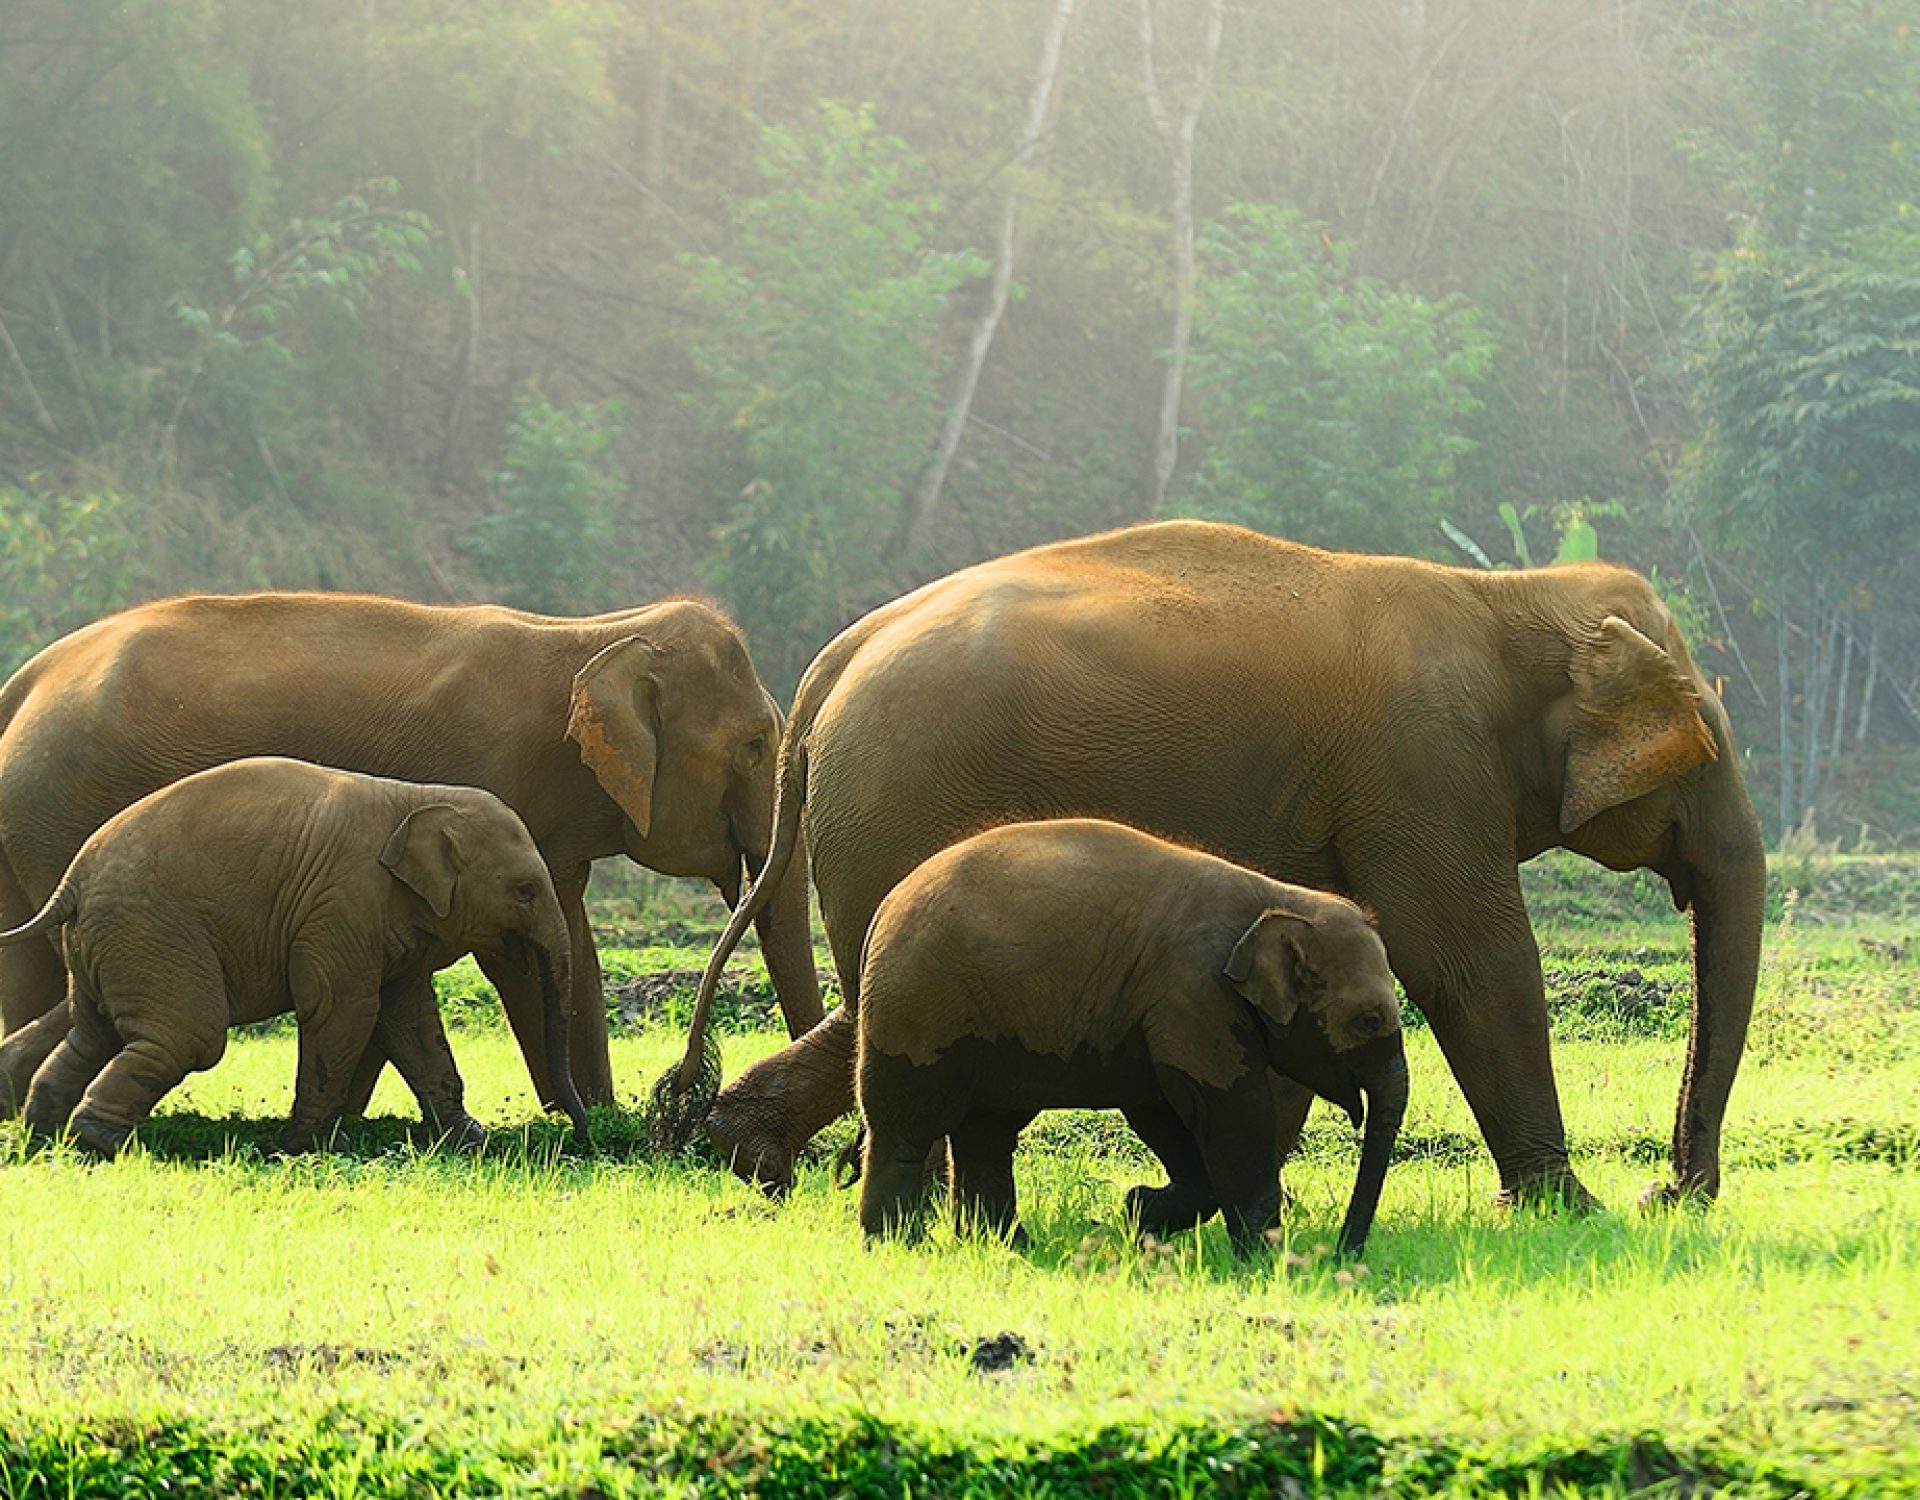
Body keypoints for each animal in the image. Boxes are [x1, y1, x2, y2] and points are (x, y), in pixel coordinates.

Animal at [0, 591, 821, 1115]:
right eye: (755, 745)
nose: (682, 1095)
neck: (590, 635)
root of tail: (23, 684)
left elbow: (572, 944)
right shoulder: (491, 779)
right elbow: (515, 960)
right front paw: (588, 1119)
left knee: (34, 966)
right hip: (65, 805)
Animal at [0, 757, 589, 1156]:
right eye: (524, 892)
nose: (580, 1135)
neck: (415, 798)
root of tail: (72, 882)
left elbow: (410, 1017)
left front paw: (471, 1142)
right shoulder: (342, 903)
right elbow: (342, 1009)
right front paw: (311, 1149)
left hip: (108, 943)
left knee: (93, 1032)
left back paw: (46, 1135)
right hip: (152, 934)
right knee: (191, 1036)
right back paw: (99, 1141)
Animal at [676, 519, 1766, 1211]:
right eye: (1703, 751)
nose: (1672, 1191)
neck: (1510, 598)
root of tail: (829, 669)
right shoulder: (1422, 768)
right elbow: (1468, 963)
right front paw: (1569, 1212)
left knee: (880, 997)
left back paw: (750, 1153)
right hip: (903, 797)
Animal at [855, 819, 1407, 1256]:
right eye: (1369, 1020)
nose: (1344, 1253)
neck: (1280, 898)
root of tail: (884, 907)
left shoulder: (1160, 1011)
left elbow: (1162, 1107)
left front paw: (1139, 1213)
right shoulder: (1193, 994)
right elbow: (1228, 1108)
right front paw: (1263, 1258)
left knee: (986, 1132)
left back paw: (1009, 1246)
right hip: (920, 1008)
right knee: (908, 1124)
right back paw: (897, 1246)